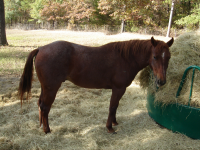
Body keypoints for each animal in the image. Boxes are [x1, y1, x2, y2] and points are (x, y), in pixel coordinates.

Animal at [18, 36, 173, 134]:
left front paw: (114, 122)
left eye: (168, 57)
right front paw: (110, 128)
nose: (161, 81)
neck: (126, 58)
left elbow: (116, 107)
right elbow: (112, 107)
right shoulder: (118, 89)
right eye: (155, 57)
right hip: (51, 88)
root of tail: (40, 49)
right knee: (45, 107)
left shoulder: (119, 90)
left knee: (40, 104)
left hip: (46, 88)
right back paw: (47, 130)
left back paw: (41, 126)